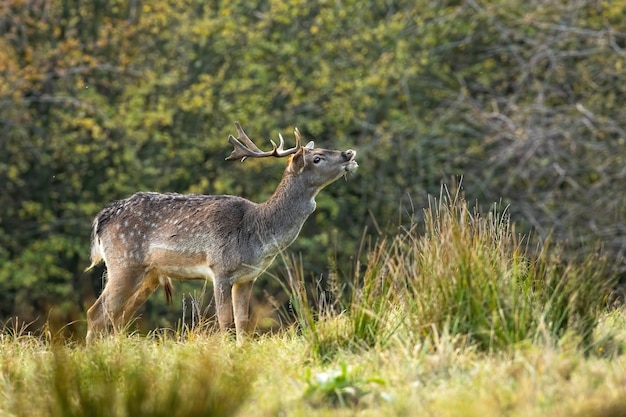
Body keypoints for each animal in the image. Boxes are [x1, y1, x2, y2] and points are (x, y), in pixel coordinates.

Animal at [84, 122, 356, 342]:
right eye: (317, 158)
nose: (349, 153)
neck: (256, 234)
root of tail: (101, 219)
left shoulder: (248, 277)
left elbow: (243, 324)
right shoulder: (220, 269)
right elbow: (226, 323)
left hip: (148, 273)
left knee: (119, 316)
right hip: (124, 263)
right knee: (96, 312)